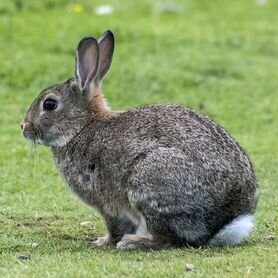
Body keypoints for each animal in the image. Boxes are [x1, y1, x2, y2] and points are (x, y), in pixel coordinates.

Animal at [21, 30, 258, 250]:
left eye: (49, 104)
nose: (23, 127)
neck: (82, 127)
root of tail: (225, 222)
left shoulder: (107, 204)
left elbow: (115, 227)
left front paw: (103, 242)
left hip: (149, 182)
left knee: (169, 239)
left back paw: (134, 242)